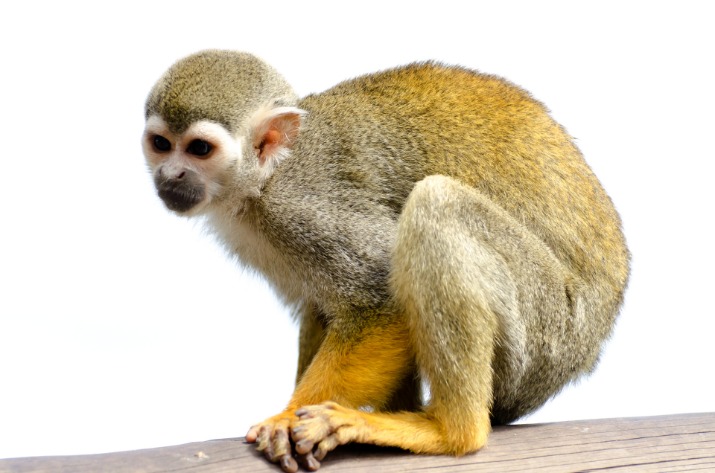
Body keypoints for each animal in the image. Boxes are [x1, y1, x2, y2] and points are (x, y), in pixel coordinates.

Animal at [142, 50, 630, 472]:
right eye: (161, 145)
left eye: (199, 150)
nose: (170, 175)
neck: (265, 178)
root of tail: (590, 345)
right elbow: (325, 307)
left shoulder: (304, 207)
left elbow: (380, 298)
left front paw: (287, 417)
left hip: (547, 328)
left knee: (435, 206)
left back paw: (450, 431)